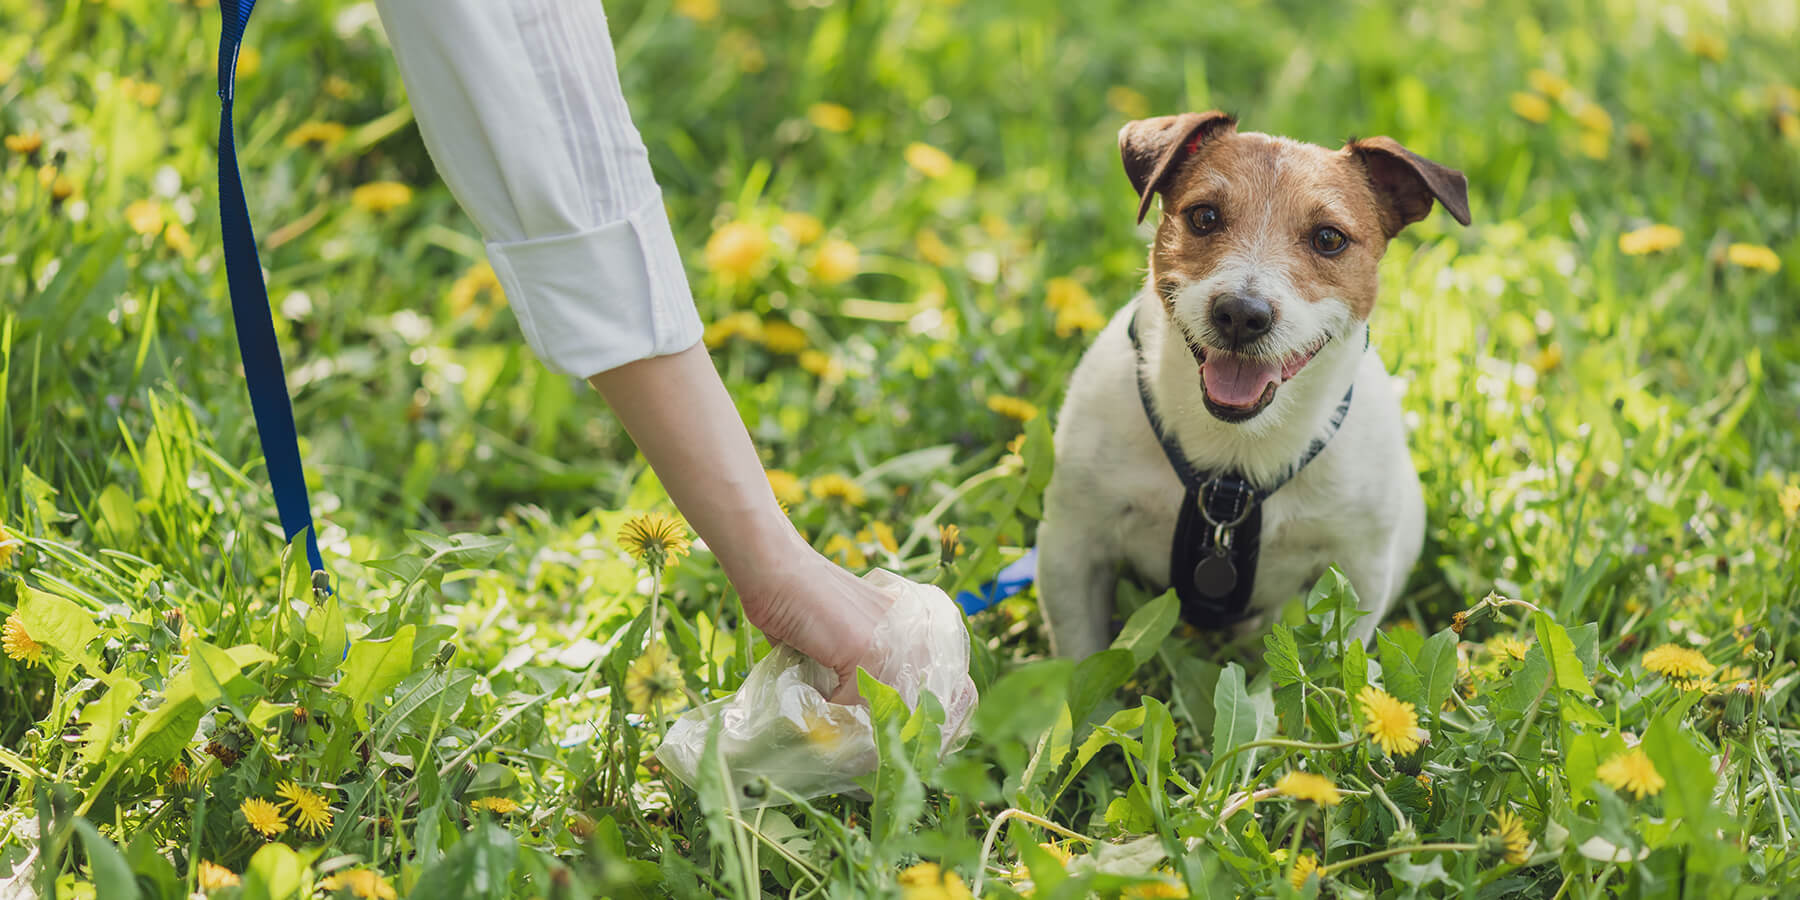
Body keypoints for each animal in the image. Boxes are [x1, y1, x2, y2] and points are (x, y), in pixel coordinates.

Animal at [1036, 114, 1468, 662]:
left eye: (1329, 238)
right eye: (1203, 216)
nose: (1242, 314)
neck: (1234, 459)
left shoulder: (1358, 572)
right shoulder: (1072, 546)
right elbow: (1080, 658)